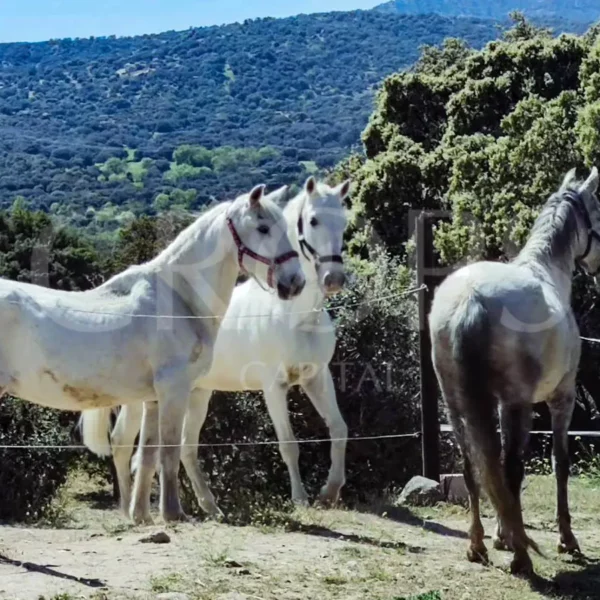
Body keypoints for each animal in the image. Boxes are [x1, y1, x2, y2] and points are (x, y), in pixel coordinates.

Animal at [0, 182, 304, 524]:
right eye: (263, 228)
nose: (295, 282)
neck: (178, 299)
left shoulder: (153, 399)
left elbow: (147, 454)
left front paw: (142, 515)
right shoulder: (174, 390)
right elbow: (169, 451)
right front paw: (173, 513)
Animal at [82, 176, 350, 516]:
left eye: (344, 221)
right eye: (313, 220)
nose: (334, 278)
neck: (296, 316)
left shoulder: (317, 377)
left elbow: (339, 429)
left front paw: (330, 492)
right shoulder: (274, 386)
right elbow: (289, 444)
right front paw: (300, 500)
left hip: (198, 393)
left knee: (185, 447)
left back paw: (209, 507)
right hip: (138, 399)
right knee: (121, 444)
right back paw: (129, 508)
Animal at [428, 166, 600, 576]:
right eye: (598, 211)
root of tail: (469, 299)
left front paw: (502, 535)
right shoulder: (560, 399)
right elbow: (559, 463)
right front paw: (565, 539)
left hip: (458, 406)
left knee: (473, 466)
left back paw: (477, 545)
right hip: (516, 404)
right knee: (508, 468)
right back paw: (522, 556)